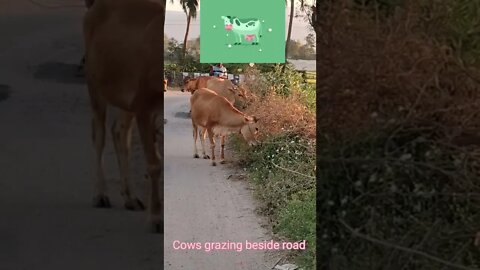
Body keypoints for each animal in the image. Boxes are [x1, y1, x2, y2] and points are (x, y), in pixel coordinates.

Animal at [83, 0, 165, 233]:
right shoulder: (145, 105)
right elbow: (154, 164)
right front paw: (156, 218)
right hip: (95, 83)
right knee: (99, 134)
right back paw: (100, 194)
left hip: (126, 99)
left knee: (119, 131)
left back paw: (131, 198)